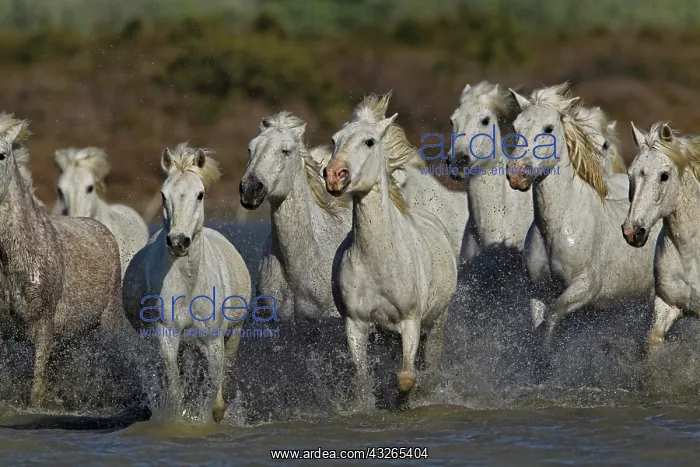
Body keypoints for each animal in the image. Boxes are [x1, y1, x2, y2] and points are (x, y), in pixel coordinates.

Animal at [122, 143, 250, 423]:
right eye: (163, 194)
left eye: (200, 195)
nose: (179, 242)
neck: (190, 287)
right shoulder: (167, 336)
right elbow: (176, 391)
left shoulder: (214, 340)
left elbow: (215, 397)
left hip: (234, 333)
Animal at [324, 108, 457, 403]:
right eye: (334, 140)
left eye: (369, 142)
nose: (334, 175)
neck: (380, 261)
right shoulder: (357, 325)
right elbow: (363, 381)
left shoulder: (410, 322)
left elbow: (406, 377)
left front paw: (404, 401)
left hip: (437, 323)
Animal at [505, 86, 659, 351]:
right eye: (516, 126)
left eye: (549, 128)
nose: (517, 175)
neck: (559, 225)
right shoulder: (538, 290)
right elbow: (538, 325)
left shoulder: (586, 286)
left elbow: (552, 317)